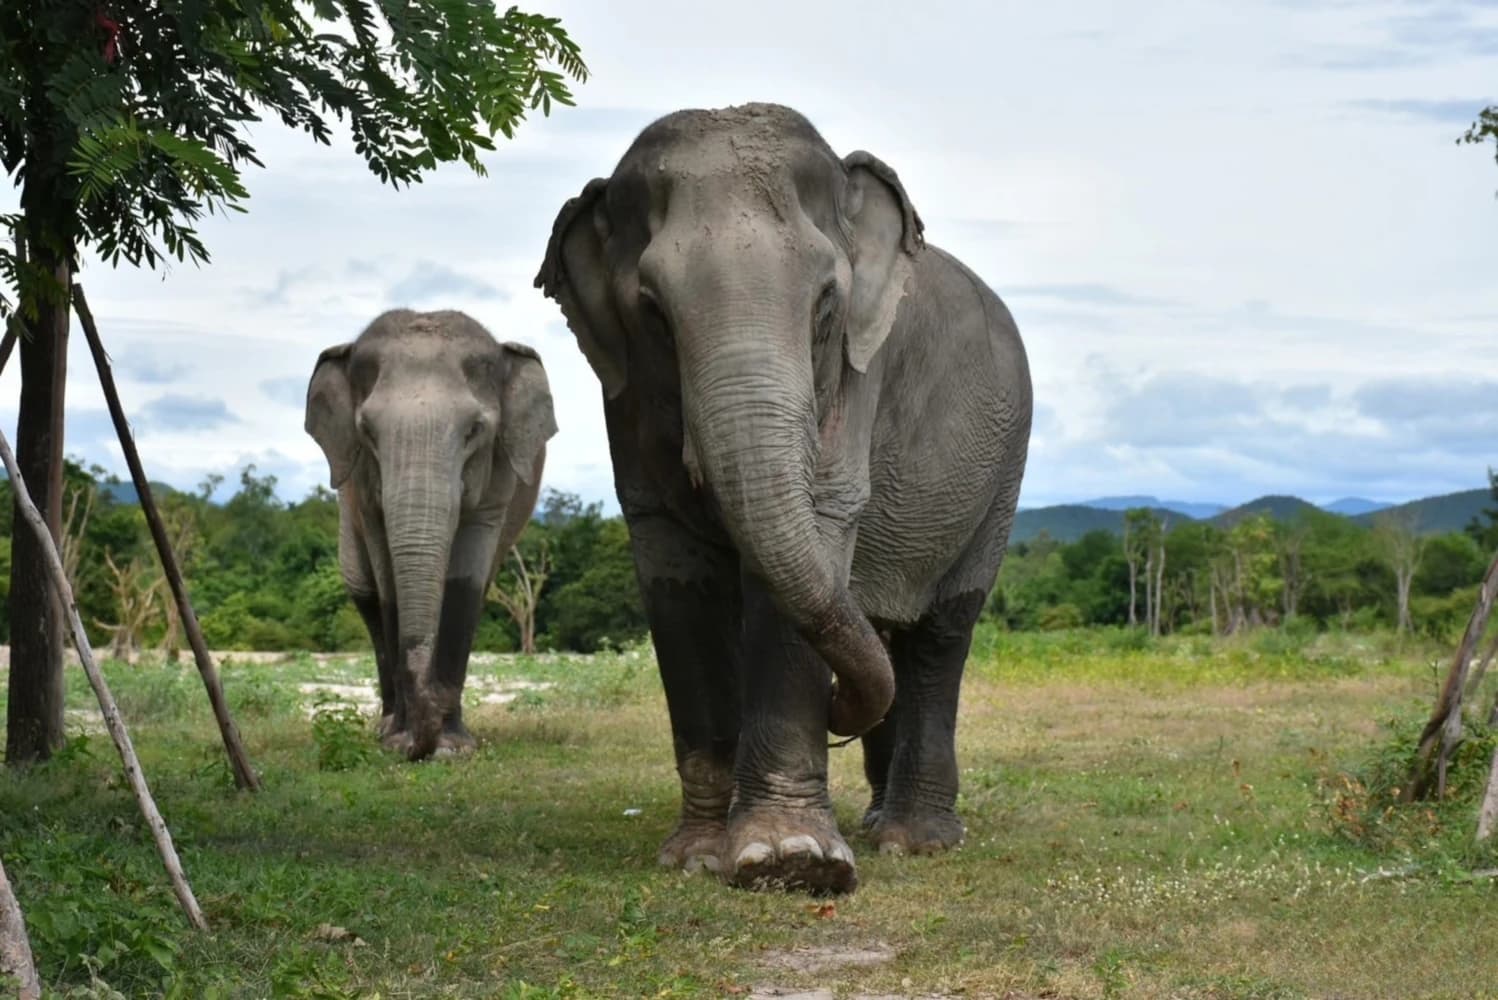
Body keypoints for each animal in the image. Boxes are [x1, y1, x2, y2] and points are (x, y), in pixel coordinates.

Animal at [304, 309, 558, 760]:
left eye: (475, 430)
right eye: (367, 431)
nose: (420, 743)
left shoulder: (499, 479)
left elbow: (466, 581)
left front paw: (453, 747)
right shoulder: (362, 488)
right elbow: (386, 580)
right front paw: (399, 742)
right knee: (362, 590)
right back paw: (385, 725)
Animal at [536, 103, 1032, 893]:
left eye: (826, 302)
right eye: (652, 311)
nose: (838, 711)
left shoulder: (855, 376)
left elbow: (818, 526)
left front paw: (794, 863)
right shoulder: (626, 397)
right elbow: (673, 565)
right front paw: (698, 857)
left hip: (1001, 476)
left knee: (939, 638)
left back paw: (914, 841)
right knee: (888, 638)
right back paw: (877, 823)